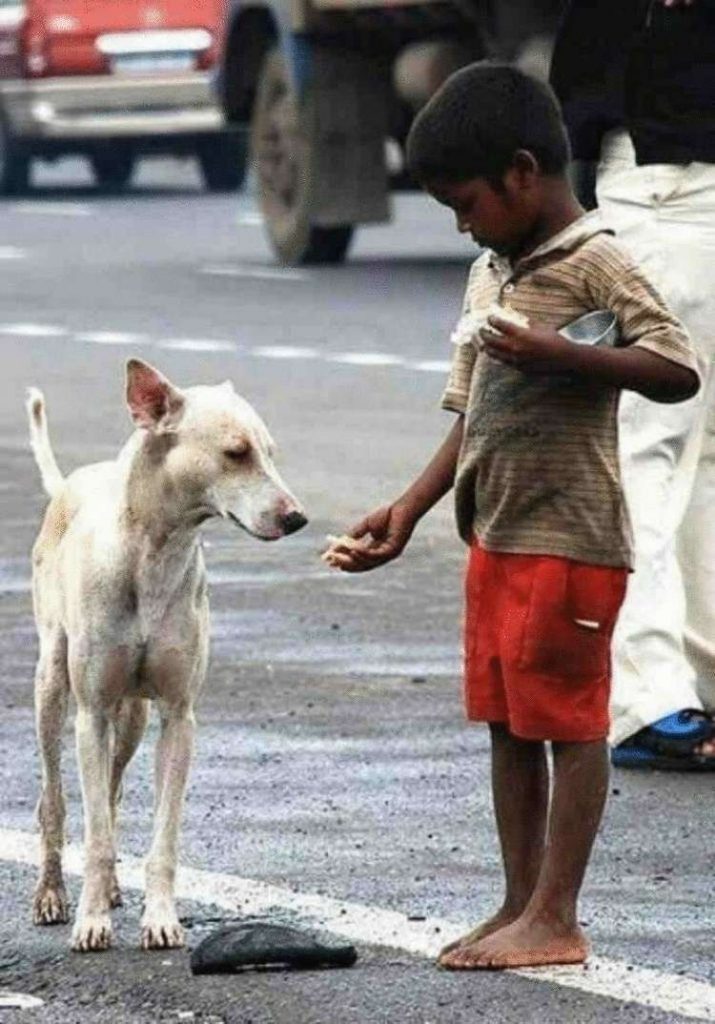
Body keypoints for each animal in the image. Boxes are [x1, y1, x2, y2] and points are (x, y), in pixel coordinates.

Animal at [27, 360, 303, 950]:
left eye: (270, 451)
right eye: (236, 452)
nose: (298, 518)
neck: (152, 554)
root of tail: (70, 483)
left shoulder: (178, 717)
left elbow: (162, 833)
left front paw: (159, 918)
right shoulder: (91, 714)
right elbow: (95, 834)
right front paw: (90, 922)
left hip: (133, 715)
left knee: (110, 792)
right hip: (52, 687)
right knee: (55, 800)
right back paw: (52, 893)